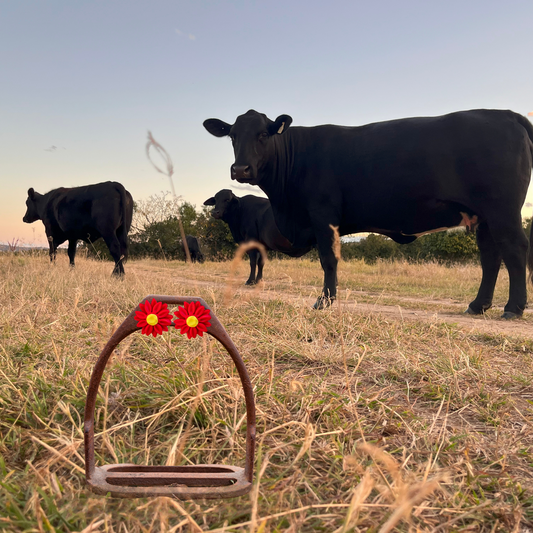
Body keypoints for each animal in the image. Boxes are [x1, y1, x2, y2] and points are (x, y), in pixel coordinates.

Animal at [205, 108, 532, 316]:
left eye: (263, 134)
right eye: (232, 135)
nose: (241, 169)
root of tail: (507, 114)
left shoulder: (323, 215)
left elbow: (329, 259)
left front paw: (324, 301)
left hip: (502, 209)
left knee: (514, 249)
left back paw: (513, 308)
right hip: (484, 216)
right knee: (490, 256)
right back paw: (478, 305)